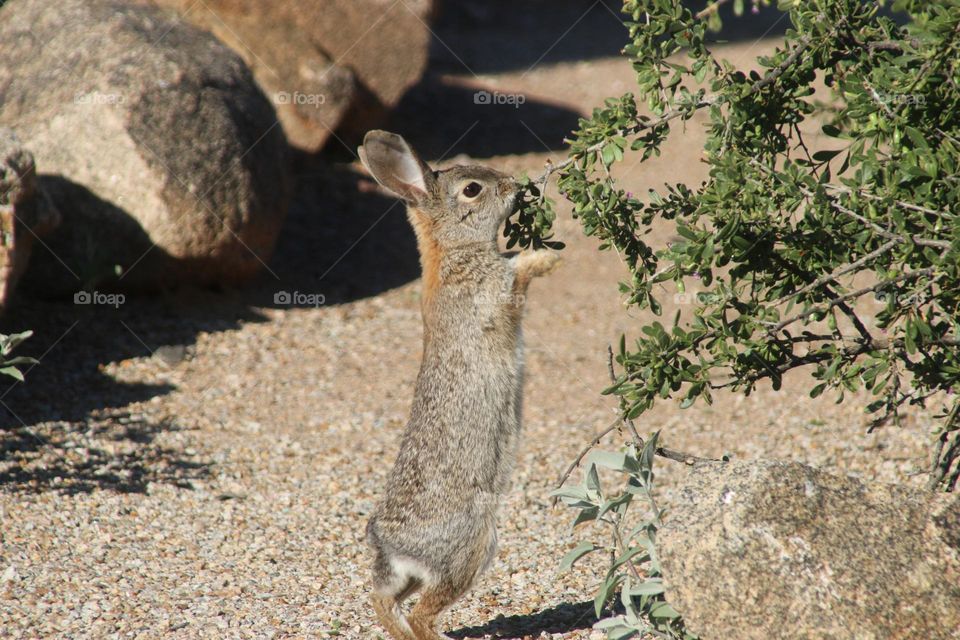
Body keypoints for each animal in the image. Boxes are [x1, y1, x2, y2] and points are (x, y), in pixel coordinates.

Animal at [358, 130, 560, 640]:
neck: (452, 250)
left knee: (386, 602)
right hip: (470, 548)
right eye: (473, 189)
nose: (515, 185)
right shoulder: (496, 292)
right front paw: (548, 257)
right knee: (423, 612)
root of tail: (391, 546)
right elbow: (519, 271)